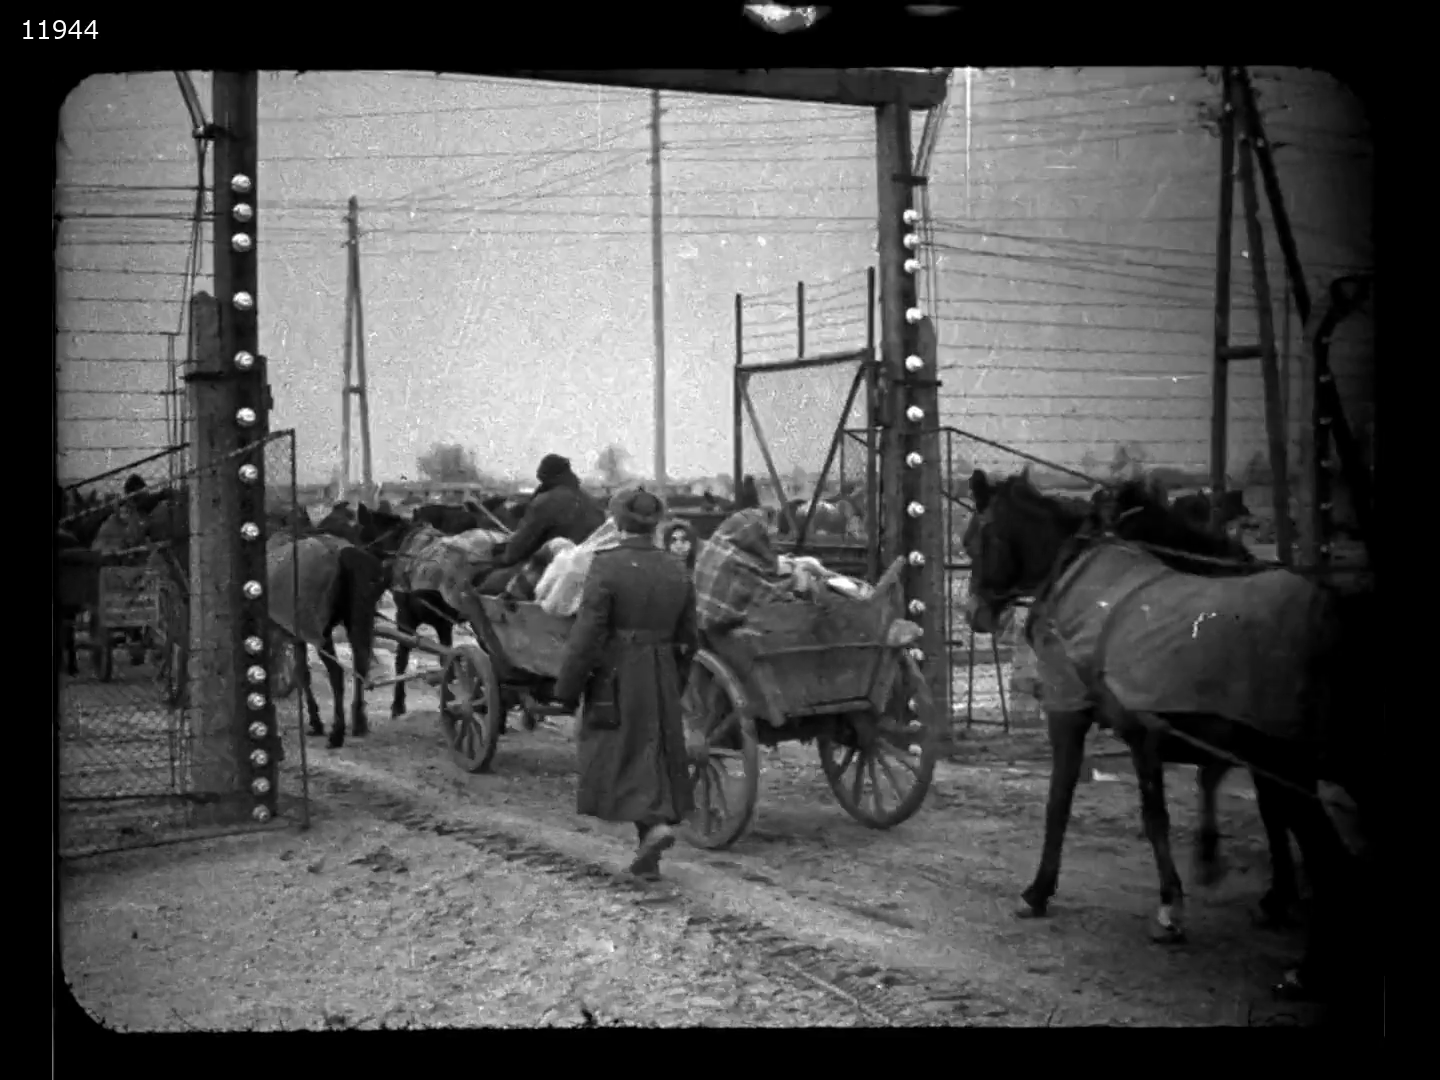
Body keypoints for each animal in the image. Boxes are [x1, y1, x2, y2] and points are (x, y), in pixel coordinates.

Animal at [961, 469, 1376, 1013]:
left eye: (972, 540)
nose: (975, 614)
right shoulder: (1145, 735)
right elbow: (1157, 816)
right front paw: (1176, 900)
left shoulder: (1070, 713)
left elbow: (1061, 804)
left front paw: (1039, 890)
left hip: (1287, 764)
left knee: (1333, 863)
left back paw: (1309, 970)